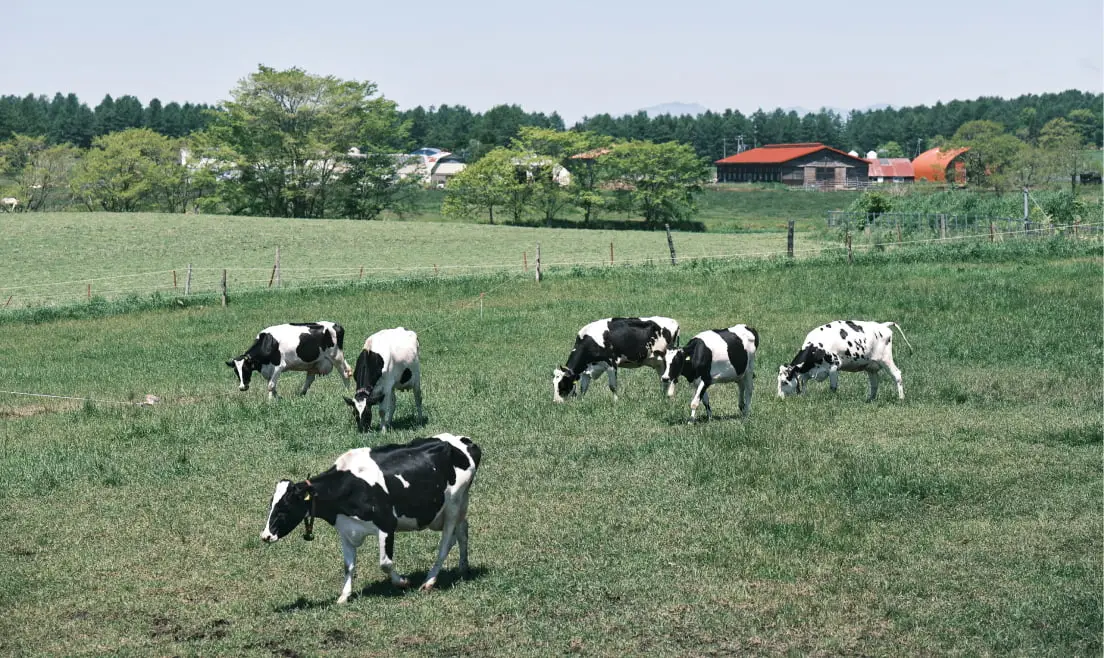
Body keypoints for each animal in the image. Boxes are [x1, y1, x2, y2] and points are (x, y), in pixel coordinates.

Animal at [260, 434, 485, 605]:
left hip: (453, 506)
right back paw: (463, 568)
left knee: (446, 544)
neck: (348, 485)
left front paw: (402, 582)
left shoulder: (387, 524)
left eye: (284, 508)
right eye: (271, 503)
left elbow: (385, 562)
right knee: (463, 530)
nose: (265, 535)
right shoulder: (345, 529)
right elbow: (348, 565)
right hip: (442, 512)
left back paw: (429, 581)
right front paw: (344, 596)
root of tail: (465, 441)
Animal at [552, 313, 680, 401]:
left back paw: (670, 397)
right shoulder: (588, 369)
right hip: (658, 363)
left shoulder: (611, 364)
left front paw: (616, 401)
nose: (556, 402)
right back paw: (663, 397)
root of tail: (674, 321)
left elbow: (612, 386)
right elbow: (584, 387)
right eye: (553, 384)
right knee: (663, 380)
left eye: (562, 384)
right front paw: (581, 401)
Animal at [772, 320, 909, 401]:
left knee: (897, 375)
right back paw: (869, 400)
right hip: (871, 366)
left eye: (784, 382)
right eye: (778, 381)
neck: (816, 348)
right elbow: (803, 382)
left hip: (886, 359)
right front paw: (804, 396)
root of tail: (882, 325)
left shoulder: (834, 367)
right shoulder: (808, 371)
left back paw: (901, 398)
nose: (779, 397)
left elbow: (833, 387)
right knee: (874, 383)